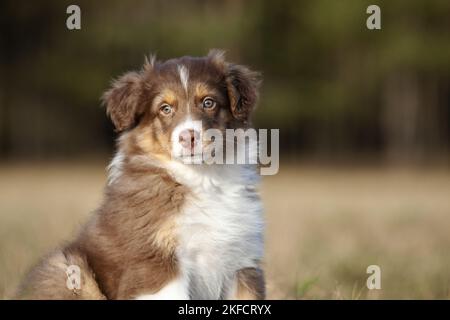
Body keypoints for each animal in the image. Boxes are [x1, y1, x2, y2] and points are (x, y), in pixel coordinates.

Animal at [18, 50, 264, 300]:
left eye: (208, 102)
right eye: (165, 108)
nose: (189, 137)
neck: (202, 178)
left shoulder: (242, 261)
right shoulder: (155, 260)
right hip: (64, 268)